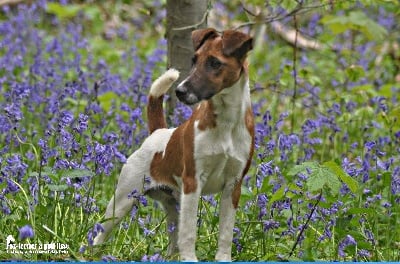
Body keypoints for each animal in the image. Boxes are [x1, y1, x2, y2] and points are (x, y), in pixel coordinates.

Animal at [93, 27, 253, 260]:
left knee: (172, 243)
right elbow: (189, 233)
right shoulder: (193, 182)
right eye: (194, 60)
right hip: (122, 200)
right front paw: (191, 259)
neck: (226, 124)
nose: (180, 91)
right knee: (99, 234)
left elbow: (225, 234)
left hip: (173, 206)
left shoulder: (233, 187)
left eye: (215, 62)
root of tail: (157, 132)